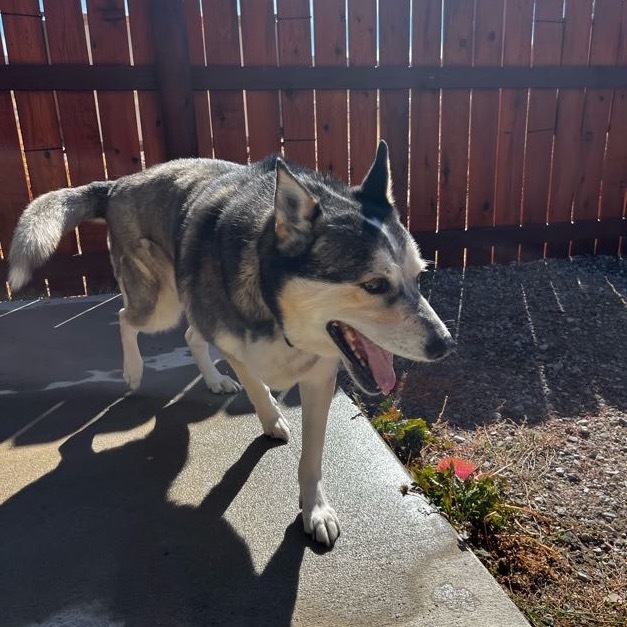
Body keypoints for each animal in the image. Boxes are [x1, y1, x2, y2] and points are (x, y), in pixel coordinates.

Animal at [7, 141, 454, 544]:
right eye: (374, 285)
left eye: (418, 276)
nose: (445, 345)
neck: (276, 309)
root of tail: (119, 183)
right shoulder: (236, 345)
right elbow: (256, 385)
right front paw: (271, 417)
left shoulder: (320, 377)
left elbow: (311, 458)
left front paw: (315, 511)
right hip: (161, 303)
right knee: (125, 318)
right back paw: (133, 372)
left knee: (190, 334)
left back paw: (214, 380)